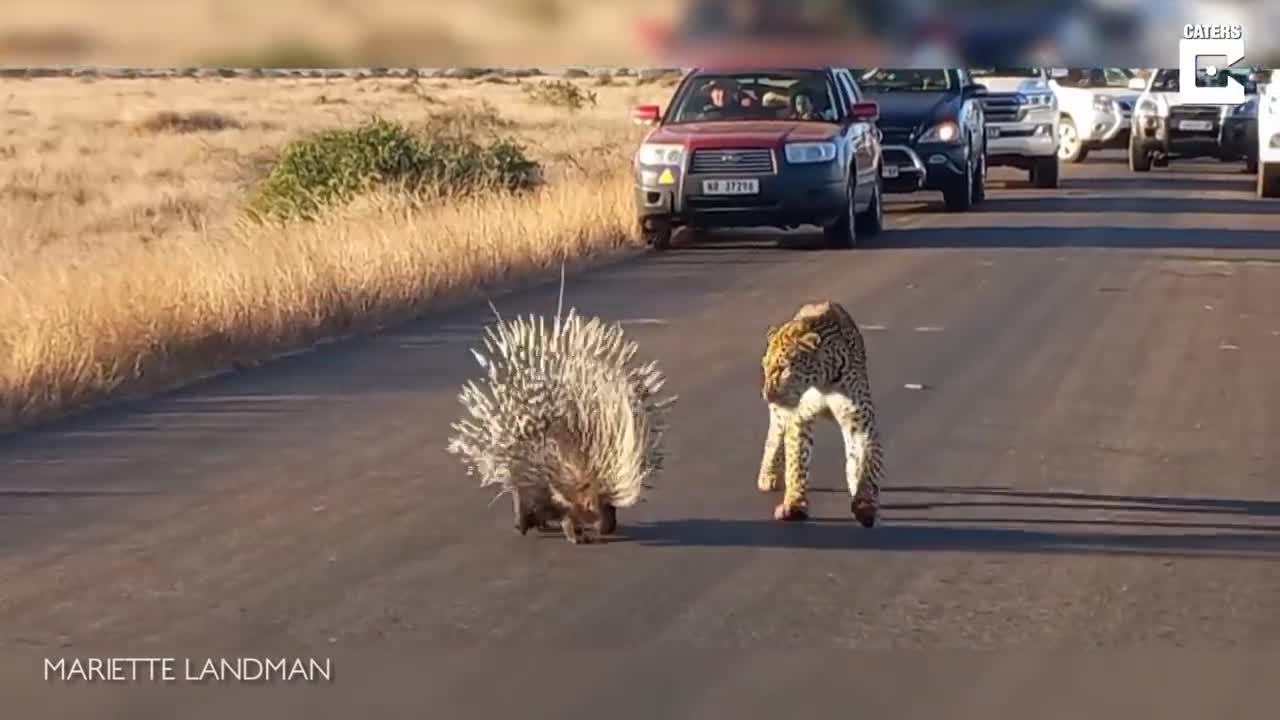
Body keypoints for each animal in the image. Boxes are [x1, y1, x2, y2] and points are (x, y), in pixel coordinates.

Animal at [752, 299, 885, 525]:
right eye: (765, 366)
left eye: (783, 368)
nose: (766, 395)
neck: (824, 381)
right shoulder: (799, 418)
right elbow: (797, 462)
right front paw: (794, 505)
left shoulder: (859, 421)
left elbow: (866, 463)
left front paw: (864, 503)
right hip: (780, 415)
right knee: (774, 436)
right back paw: (767, 474)